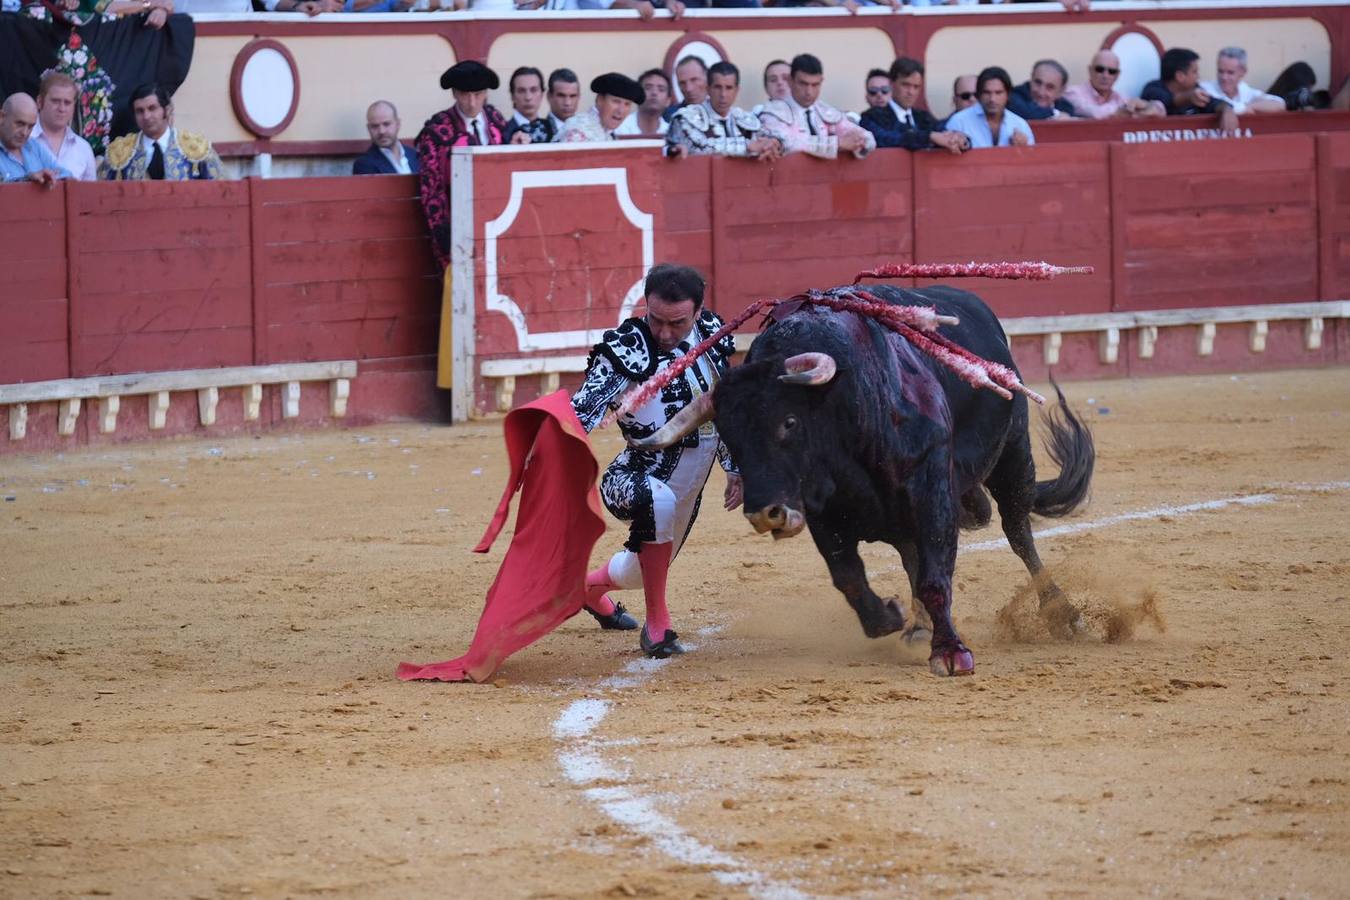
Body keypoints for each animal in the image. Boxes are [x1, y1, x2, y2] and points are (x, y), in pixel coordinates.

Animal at [634, 284, 1096, 671]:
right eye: (731, 438)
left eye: (789, 422)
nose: (765, 514)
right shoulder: (823, 512)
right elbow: (850, 578)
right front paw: (890, 616)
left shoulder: (932, 489)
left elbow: (936, 575)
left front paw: (951, 653)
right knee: (913, 555)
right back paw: (919, 626)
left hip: (1014, 453)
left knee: (1019, 534)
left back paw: (1062, 615)